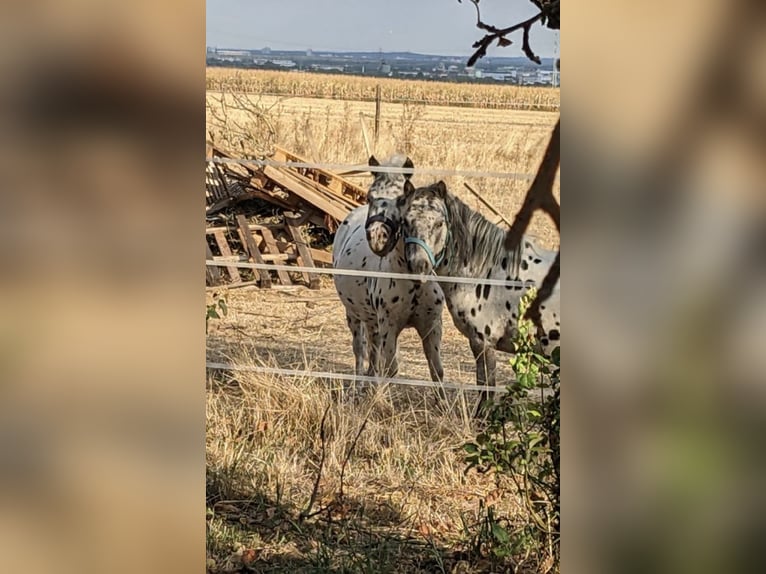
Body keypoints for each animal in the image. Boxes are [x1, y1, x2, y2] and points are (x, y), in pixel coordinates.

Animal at [332, 156, 445, 383]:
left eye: (402, 198)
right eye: (369, 196)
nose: (377, 238)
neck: (414, 283)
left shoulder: (432, 327)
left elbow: (436, 371)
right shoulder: (389, 326)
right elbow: (390, 369)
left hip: (372, 319)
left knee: (373, 349)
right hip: (354, 314)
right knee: (360, 350)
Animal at [398, 179, 560, 400]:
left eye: (439, 223)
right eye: (406, 221)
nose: (418, 266)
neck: (490, 271)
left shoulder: (483, 343)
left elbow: (486, 389)